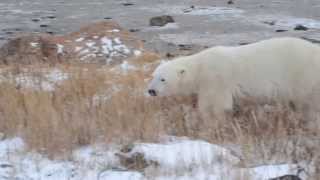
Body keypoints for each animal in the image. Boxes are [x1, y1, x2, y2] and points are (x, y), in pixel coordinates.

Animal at [148, 37, 320, 119]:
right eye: (153, 76)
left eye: (163, 79)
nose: (151, 91)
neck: (200, 67)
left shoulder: (215, 79)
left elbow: (216, 105)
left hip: (303, 76)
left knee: (308, 104)